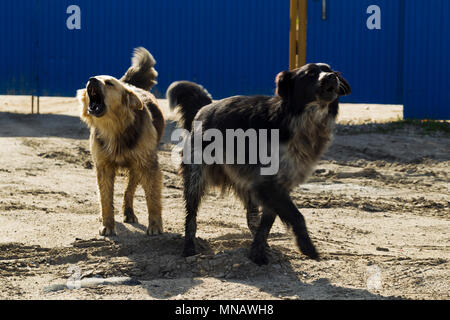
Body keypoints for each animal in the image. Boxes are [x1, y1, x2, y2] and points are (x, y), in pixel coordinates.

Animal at [78, 47, 165, 235]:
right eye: (92, 78)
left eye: (109, 83)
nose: (91, 79)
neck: (115, 129)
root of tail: (130, 85)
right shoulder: (103, 167)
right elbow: (105, 199)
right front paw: (107, 225)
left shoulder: (148, 165)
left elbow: (153, 198)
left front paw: (155, 225)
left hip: (136, 167)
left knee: (128, 191)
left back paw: (129, 212)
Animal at [166, 63, 352, 264]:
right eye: (310, 74)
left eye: (329, 70)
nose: (332, 77)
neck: (300, 119)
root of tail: (206, 106)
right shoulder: (267, 183)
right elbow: (297, 216)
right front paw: (307, 247)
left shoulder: (276, 184)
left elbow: (267, 222)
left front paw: (257, 252)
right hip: (196, 178)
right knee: (191, 215)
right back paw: (189, 248)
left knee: (251, 217)